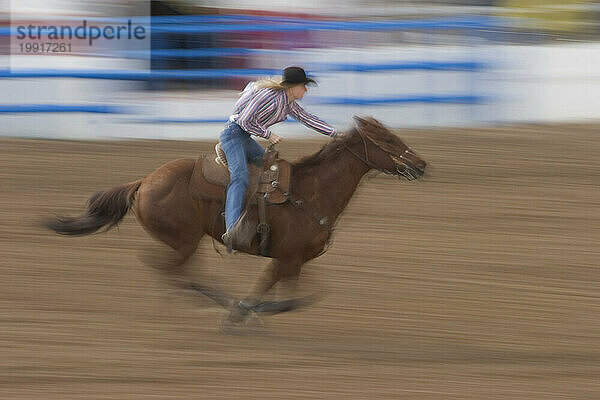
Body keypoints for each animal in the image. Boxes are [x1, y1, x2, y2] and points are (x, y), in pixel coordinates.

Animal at [47, 115, 426, 328]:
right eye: (388, 139)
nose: (421, 165)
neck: (311, 192)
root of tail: (143, 182)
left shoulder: (294, 260)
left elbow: (294, 293)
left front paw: (245, 310)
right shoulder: (288, 258)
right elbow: (284, 299)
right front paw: (244, 313)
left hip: (187, 243)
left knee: (182, 273)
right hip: (184, 241)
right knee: (167, 268)